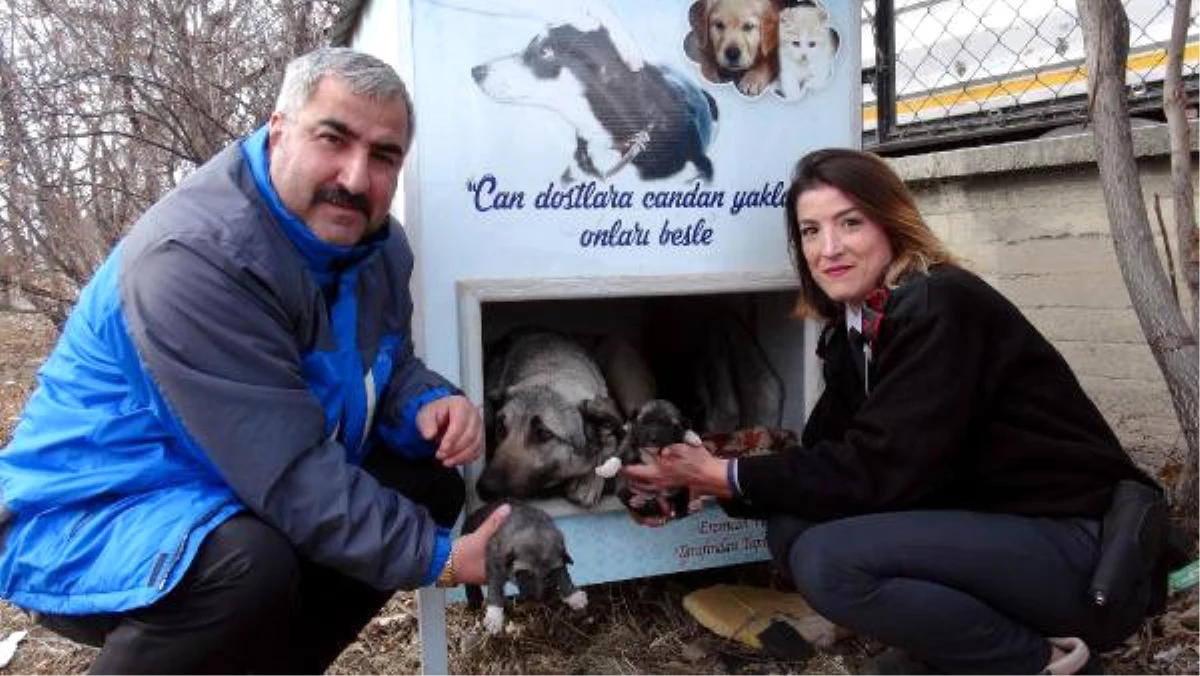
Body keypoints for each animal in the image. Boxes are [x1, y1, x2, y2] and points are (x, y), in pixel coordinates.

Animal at [460, 501, 588, 633]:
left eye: (549, 575)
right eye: (526, 574)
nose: (538, 600)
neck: (530, 524)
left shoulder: (560, 561)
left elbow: (563, 575)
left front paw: (572, 595)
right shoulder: (495, 562)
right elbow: (495, 589)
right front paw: (494, 616)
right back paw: (474, 599)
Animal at [477, 328, 628, 509]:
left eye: (544, 434)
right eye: (501, 426)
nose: (484, 489)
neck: (555, 373)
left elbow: (610, 444)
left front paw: (589, 480)